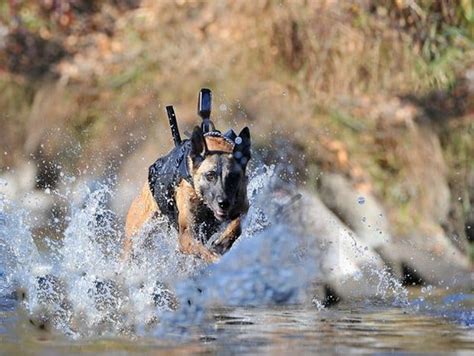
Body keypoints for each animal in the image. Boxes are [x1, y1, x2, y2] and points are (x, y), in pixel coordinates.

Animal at [125, 124, 252, 262]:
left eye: (233, 176)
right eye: (210, 175)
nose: (223, 203)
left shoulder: (242, 206)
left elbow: (237, 225)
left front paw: (223, 243)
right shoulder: (186, 236)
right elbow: (204, 251)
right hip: (136, 238)